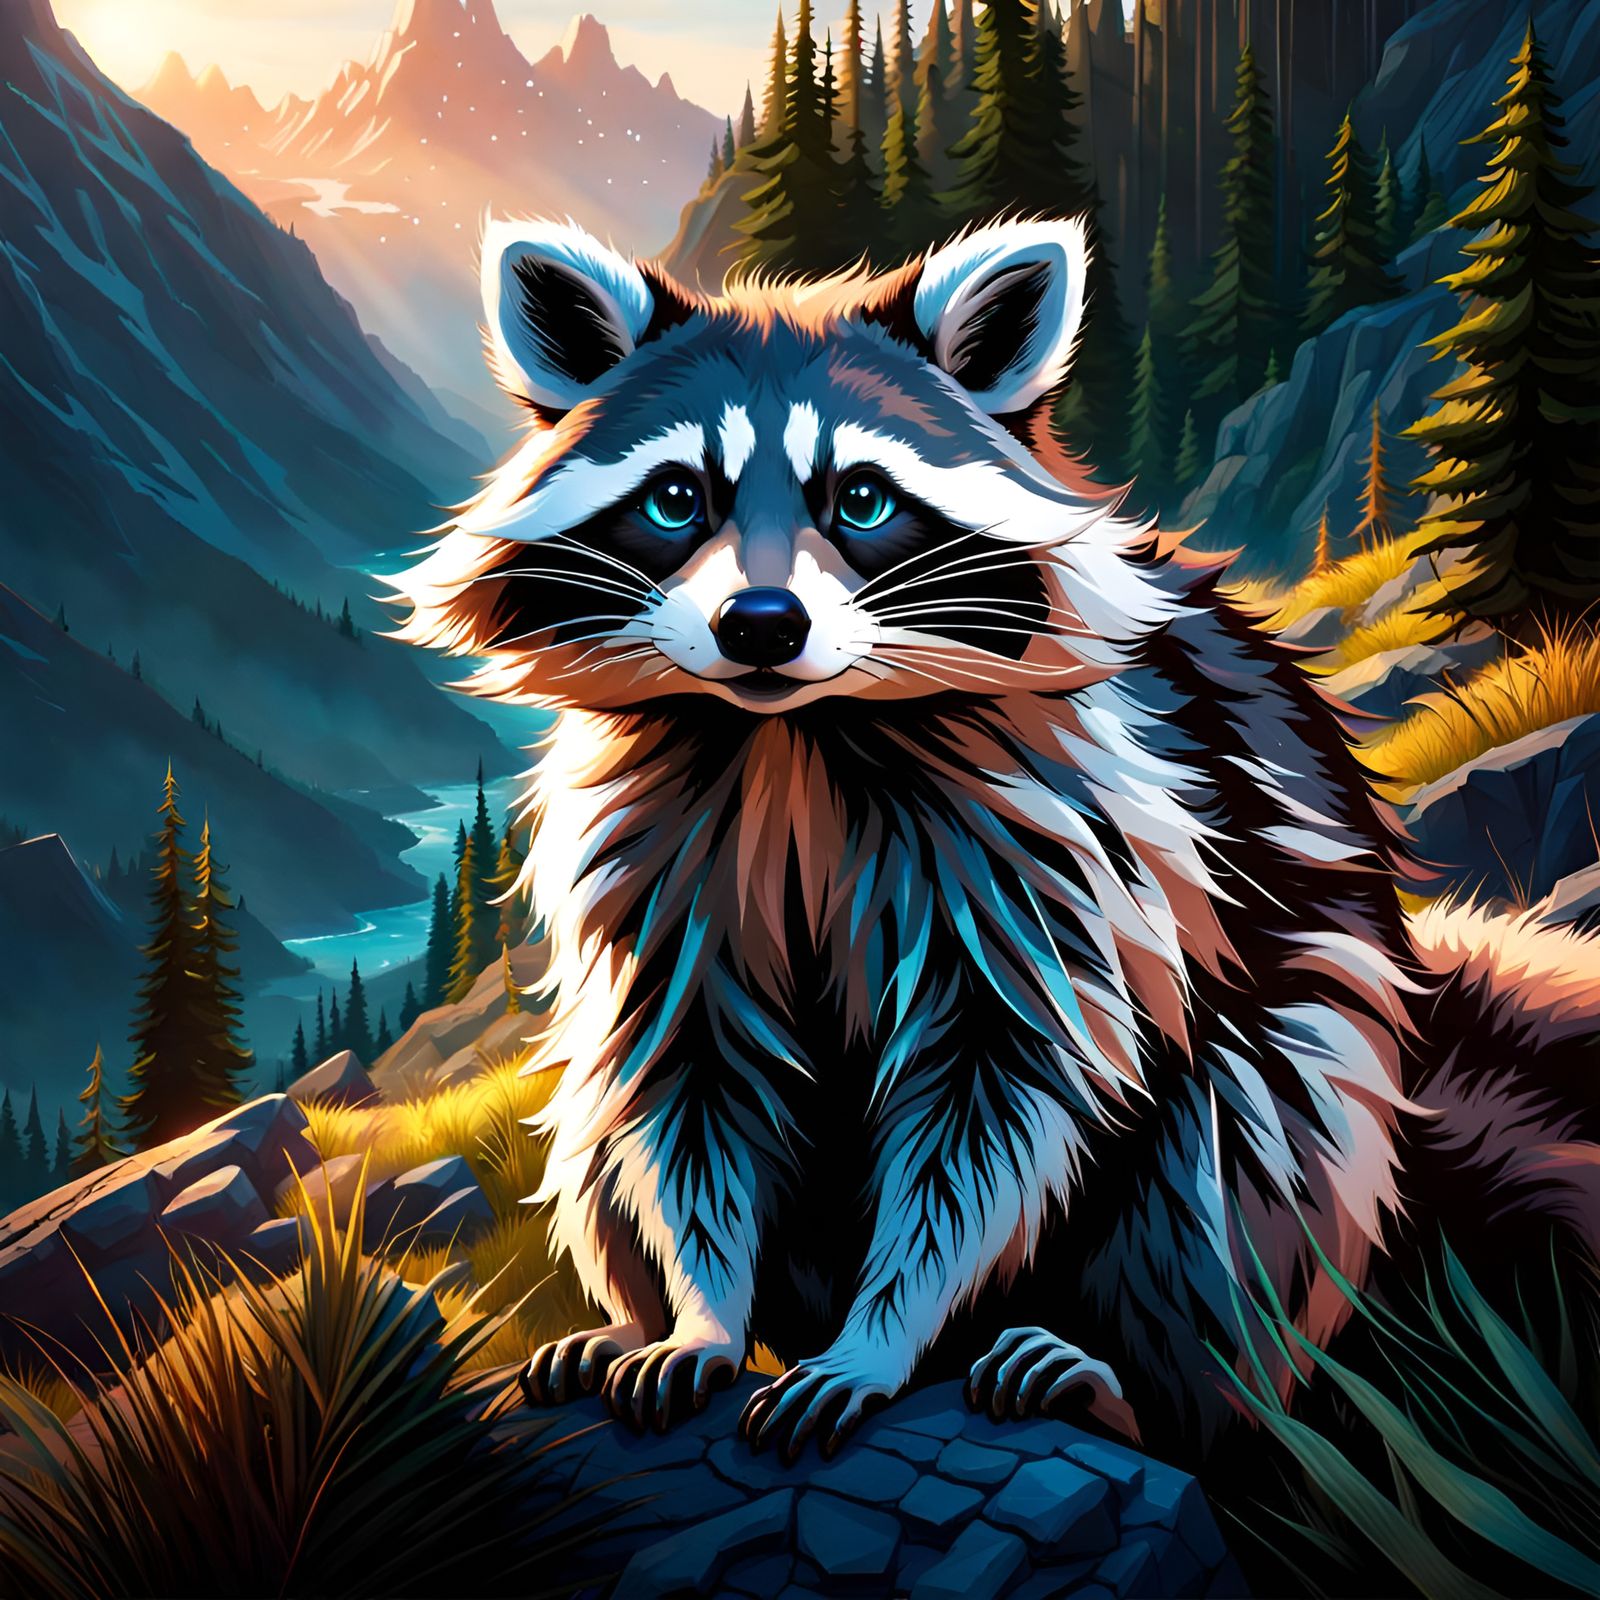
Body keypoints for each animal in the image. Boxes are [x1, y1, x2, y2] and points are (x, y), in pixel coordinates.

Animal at [390, 216, 1600, 1463]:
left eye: (862, 498)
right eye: (677, 496)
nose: (760, 624)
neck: (790, 741)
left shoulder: (1058, 841)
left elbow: (998, 1101)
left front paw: (882, 1334)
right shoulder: (664, 859)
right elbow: (690, 1089)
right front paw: (699, 1313)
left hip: (1305, 1078)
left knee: (1253, 1140)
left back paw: (1136, 1379)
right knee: (597, 1113)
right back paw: (625, 1323)